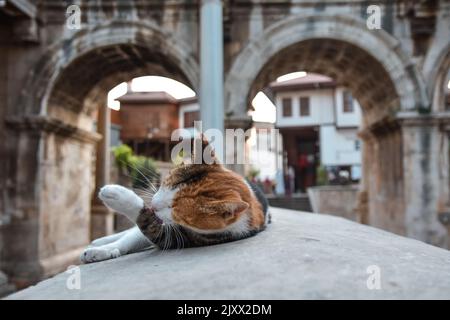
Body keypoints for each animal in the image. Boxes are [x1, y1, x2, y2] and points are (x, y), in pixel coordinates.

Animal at [80, 138, 268, 262]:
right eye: (165, 184)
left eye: (176, 209)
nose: (153, 206)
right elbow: (131, 238)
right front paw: (103, 249)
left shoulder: (183, 238)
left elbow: (147, 224)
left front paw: (116, 194)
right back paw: (101, 241)